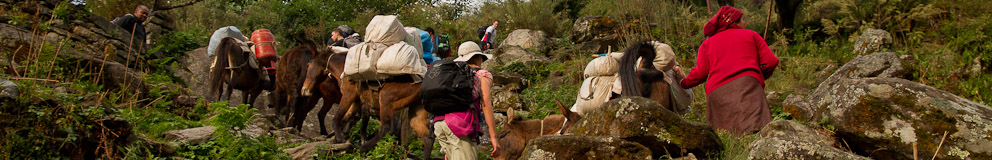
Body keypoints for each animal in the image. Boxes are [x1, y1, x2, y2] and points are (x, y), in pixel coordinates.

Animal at [298, 49, 430, 159]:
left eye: (308, 65)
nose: (304, 90)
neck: (343, 67)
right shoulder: (357, 102)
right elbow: (345, 120)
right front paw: (337, 140)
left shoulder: (348, 95)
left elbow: (337, 119)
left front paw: (340, 139)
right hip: (416, 110)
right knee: (426, 135)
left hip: (385, 100)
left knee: (385, 128)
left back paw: (362, 148)